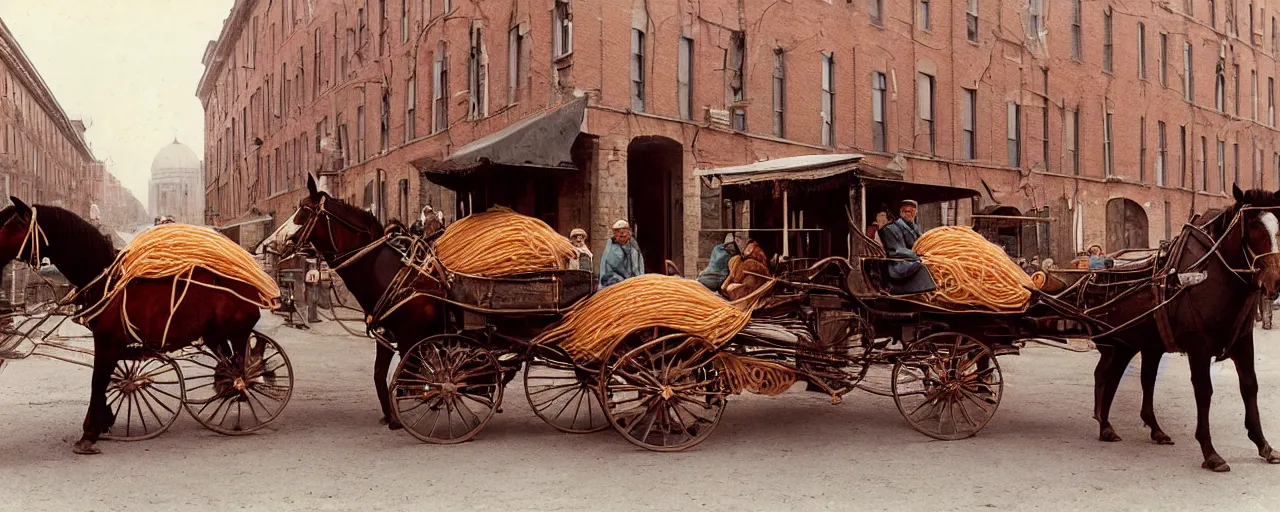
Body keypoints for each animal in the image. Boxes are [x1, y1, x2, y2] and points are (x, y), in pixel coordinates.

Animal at [0, 198, 259, 453]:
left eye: (14, 225)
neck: (105, 279)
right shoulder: (113, 344)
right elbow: (107, 378)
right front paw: (104, 418)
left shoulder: (106, 341)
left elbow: (98, 381)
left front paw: (89, 433)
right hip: (213, 334)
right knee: (229, 362)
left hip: (235, 330)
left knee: (240, 366)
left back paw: (239, 390)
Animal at [282, 176, 448, 427]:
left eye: (305, 210)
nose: (285, 242)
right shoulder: (388, 335)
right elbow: (381, 375)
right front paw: (392, 417)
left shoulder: (410, 337)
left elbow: (408, 375)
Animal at [1080, 185, 1280, 471]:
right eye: (1252, 225)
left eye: (1279, 225)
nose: (1274, 280)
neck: (1207, 277)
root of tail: (1096, 272)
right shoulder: (1199, 347)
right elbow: (1204, 391)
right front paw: (1211, 453)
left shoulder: (1242, 341)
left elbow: (1250, 386)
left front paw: (1264, 445)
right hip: (1116, 341)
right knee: (1107, 375)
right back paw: (1104, 424)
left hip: (1136, 343)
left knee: (1126, 377)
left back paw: (1144, 427)